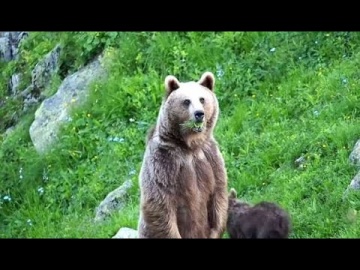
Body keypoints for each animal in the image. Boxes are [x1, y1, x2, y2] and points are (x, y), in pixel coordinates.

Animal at [138, 71, 228, 238]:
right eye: (186, 101)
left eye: (202, 99)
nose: (199, 114)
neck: (189, 146)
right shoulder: (164, 162)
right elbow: (160, 202)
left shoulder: (210, 156)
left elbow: (218, 189)